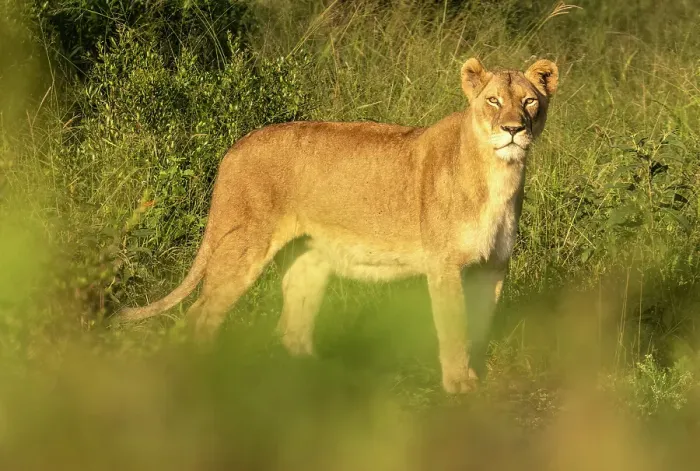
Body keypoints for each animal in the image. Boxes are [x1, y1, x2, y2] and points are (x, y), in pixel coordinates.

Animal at [118, 57, 559, 394]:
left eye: (530, 101)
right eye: (493, 101)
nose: (513, 130)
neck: (500, 174)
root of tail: (235, 147)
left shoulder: (493, 267)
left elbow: (480, 327)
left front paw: (476, 378)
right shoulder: (444, 265)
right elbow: (454, 328)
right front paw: (458, 386)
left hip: (309, 260)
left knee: (291, 329)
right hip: (244, 246)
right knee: (200, 316)